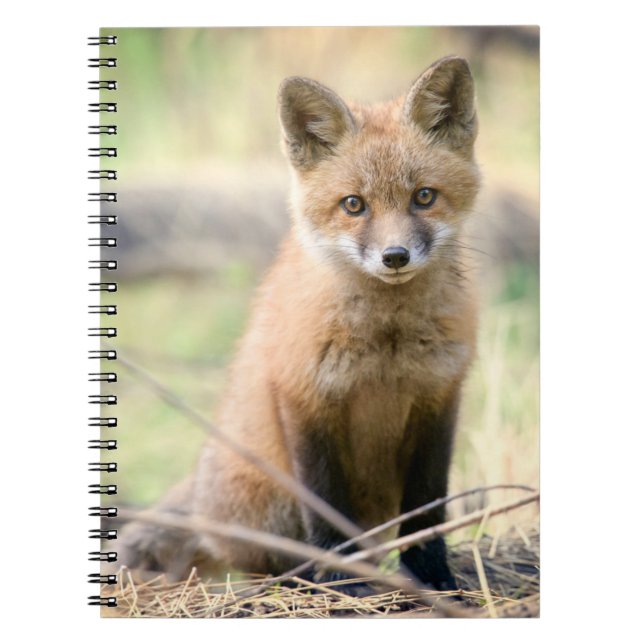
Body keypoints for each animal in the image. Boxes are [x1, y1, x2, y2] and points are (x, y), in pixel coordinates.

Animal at [117, 55, 481, 594]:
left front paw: (434, 577)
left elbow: (428, 508)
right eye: (354, 204)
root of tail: (202, 500)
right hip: (267, 501)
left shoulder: (439, 400)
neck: (386, 347)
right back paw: (299, 577)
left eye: (424, 197)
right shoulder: (305, 397)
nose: (395, 257)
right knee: (261, 559)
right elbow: (325, 507)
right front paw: (340, 579)